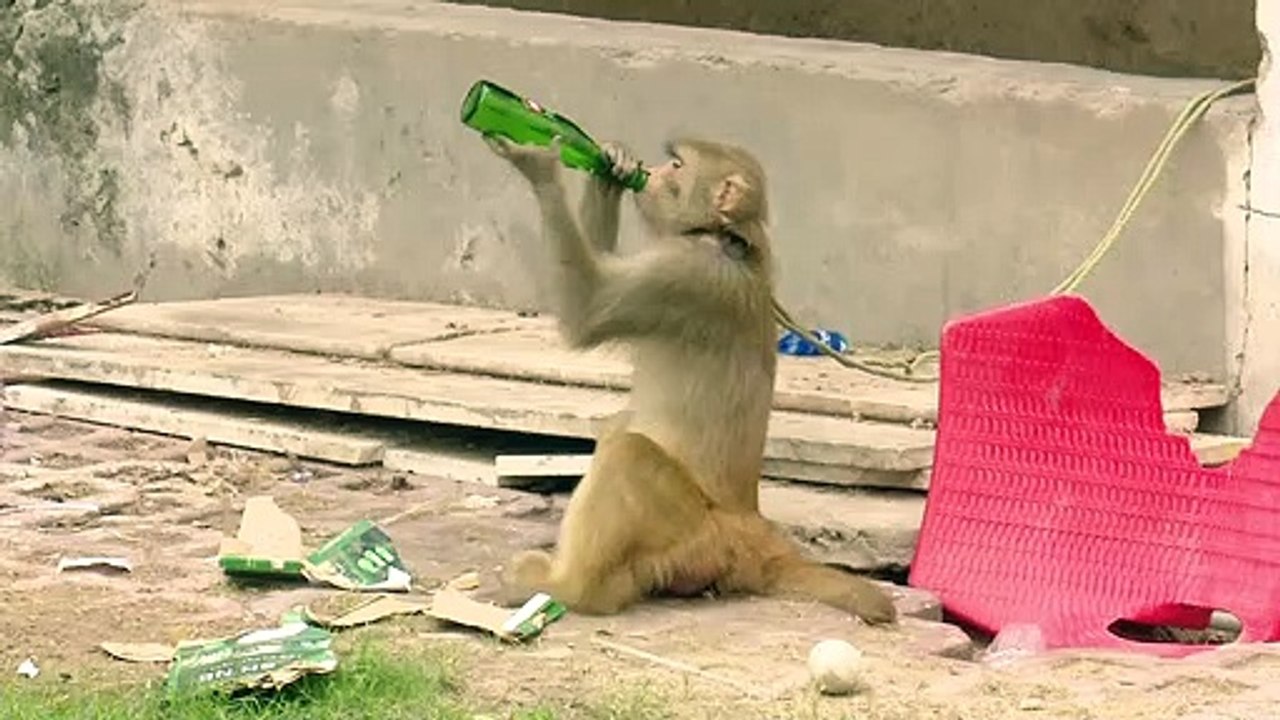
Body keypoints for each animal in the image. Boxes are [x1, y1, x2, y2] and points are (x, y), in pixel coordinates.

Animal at [484, 134, 897, 625]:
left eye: (678, 165)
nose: (654, 172)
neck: (721, 237)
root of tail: (751, 523)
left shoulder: (684, 273)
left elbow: (589, 310)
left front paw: (539, 161)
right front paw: (611, 170)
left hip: (694, 536)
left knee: (628, 452)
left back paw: (574, 589)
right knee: (621, 430)